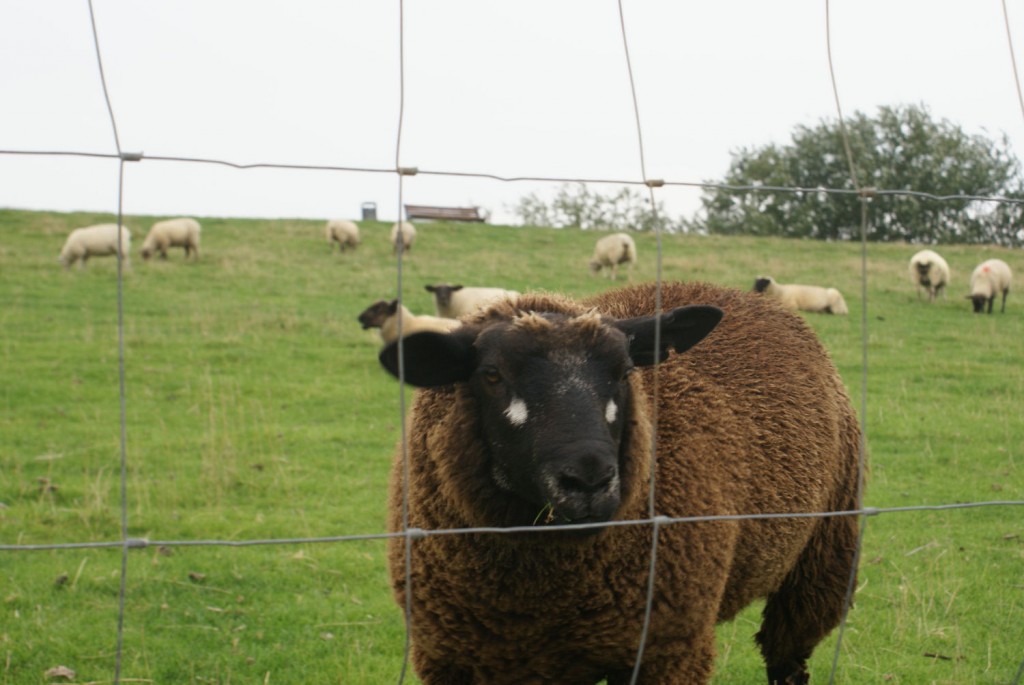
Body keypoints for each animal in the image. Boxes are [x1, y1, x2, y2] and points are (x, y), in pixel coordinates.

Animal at [376, 280, 864, 679]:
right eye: (491, 375)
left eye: (625, 371)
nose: (589, 480)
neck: (533, 599)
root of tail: (742, 294)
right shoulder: (452, 657)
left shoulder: (667, 651)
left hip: (823, 557)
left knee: (787, 659)